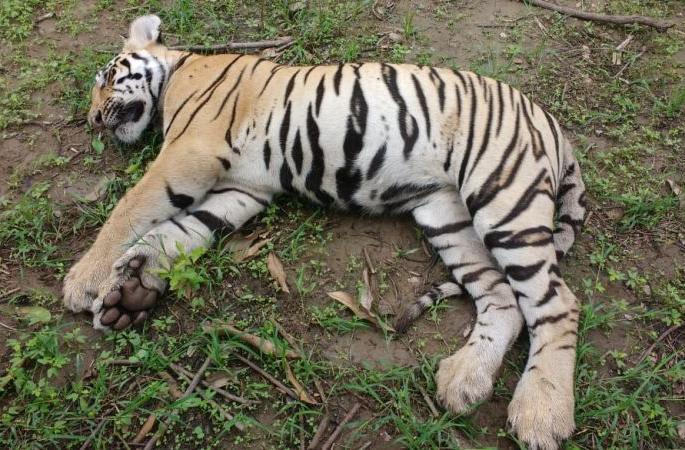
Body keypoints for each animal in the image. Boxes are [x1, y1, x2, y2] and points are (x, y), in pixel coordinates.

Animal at [62, 15, 587, 450]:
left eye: (106, 80)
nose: (92, 120)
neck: (177, 70)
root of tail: (553, 122)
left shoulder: (189, 153)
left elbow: (131, 209)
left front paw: (82, 282)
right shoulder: (242, 189)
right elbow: (182, 231)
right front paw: (131, 288)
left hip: (500, 197)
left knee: (557, 301)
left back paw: (541, 412)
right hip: (448, 216)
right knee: (501, 296)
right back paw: (463, 382)